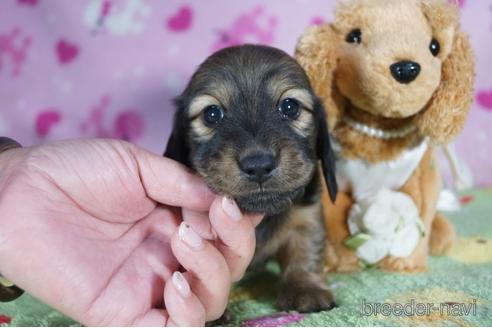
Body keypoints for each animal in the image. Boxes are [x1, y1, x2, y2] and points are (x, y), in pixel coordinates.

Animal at [165, 44, 338, 312]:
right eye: (211, 113)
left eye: (290, 106)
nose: (258, 166)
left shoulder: (306, 215)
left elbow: (306, 250)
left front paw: (305, 288)